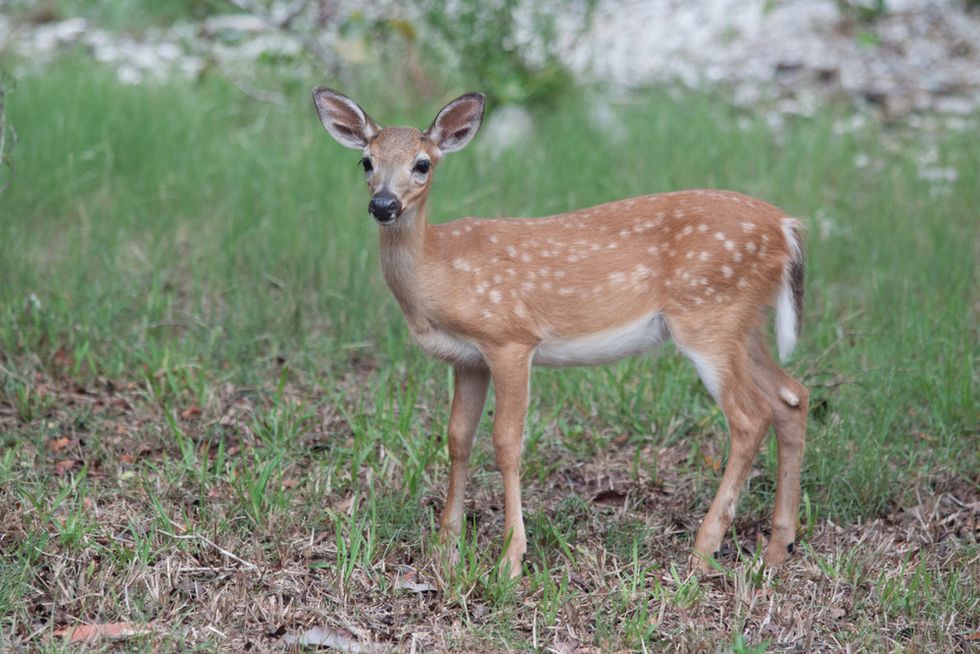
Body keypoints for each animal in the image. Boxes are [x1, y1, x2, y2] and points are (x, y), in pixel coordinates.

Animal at [312, 88, 809, 578]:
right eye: (366, 161)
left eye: (422, 164)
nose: (384, 205)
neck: (439, 270)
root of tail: (787, 227)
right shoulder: (468, 360)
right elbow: (457, 439)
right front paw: (445, 550)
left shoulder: (510, 337)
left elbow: (506, 442)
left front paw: (510, 559)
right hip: (741, 324)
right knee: (791, 397)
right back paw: (777, 548)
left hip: (707, 316)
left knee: (749, 417)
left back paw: (703, 551)